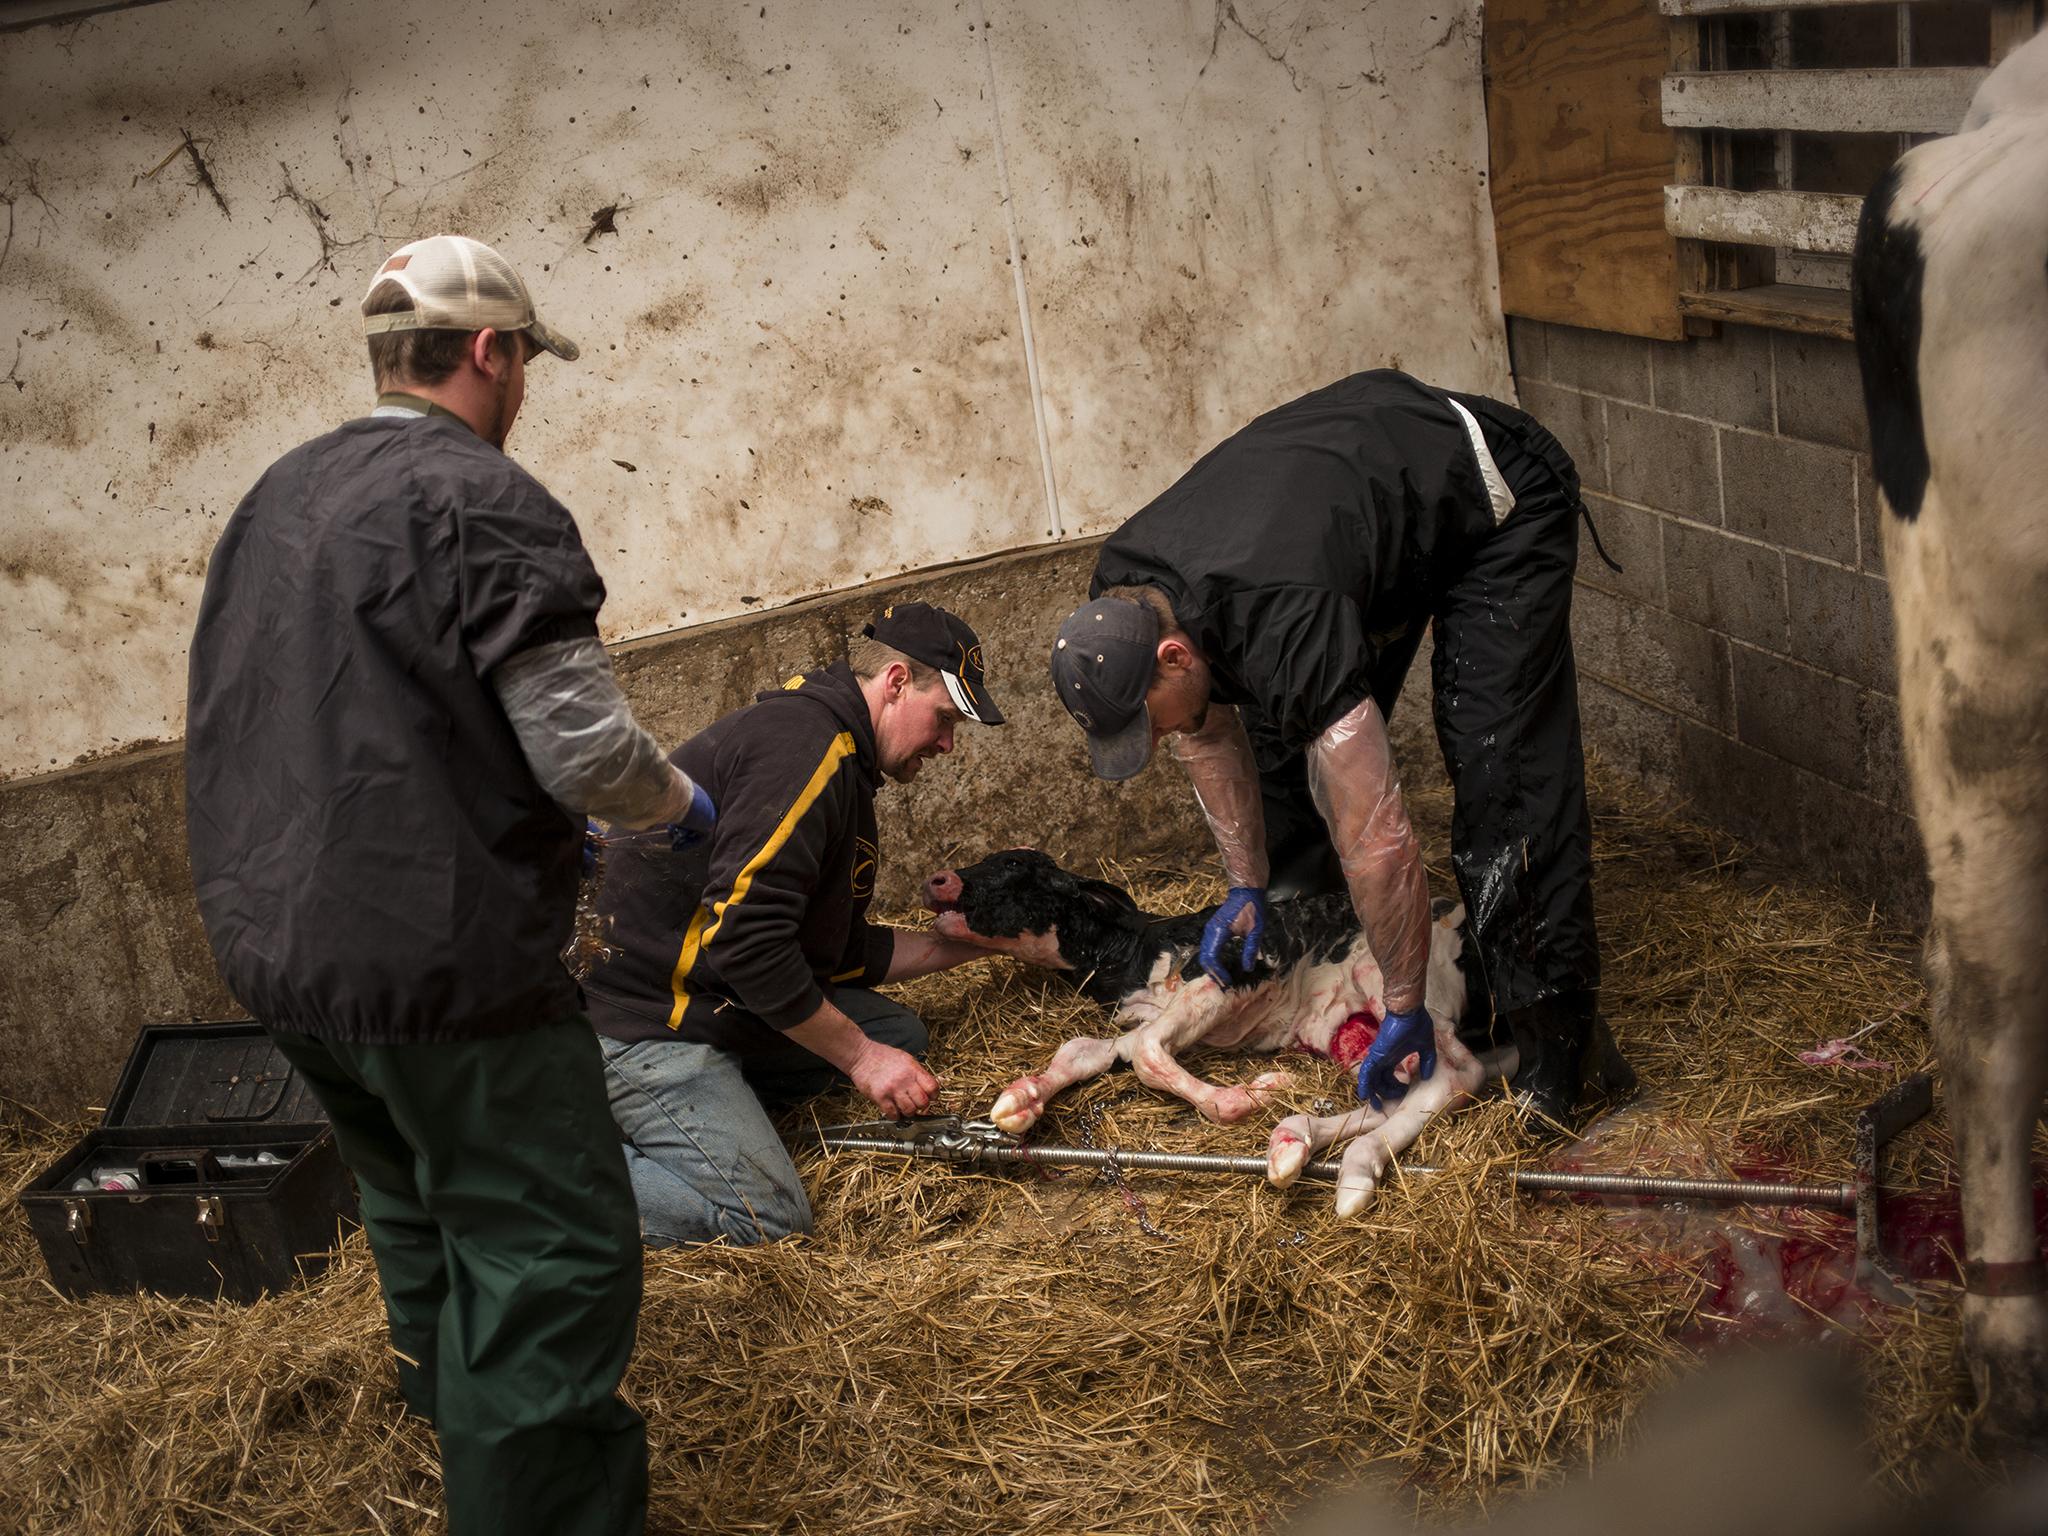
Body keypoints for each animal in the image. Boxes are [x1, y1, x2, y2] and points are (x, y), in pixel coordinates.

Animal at [921, 847, 1515, 1220]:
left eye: (1013, 862)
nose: (939, 878)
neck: (1127, 959)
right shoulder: (1142, 1015)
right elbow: (1085, 1050)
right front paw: (1019, 1100)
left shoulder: (1230, 969)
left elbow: (1148, 1054)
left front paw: (1243, 1098)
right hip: (1355, 1032)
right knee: (1398, 1092)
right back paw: (1296, 1142)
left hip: (1400, 991)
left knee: (1457, 1074)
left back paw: (1348, 1167)